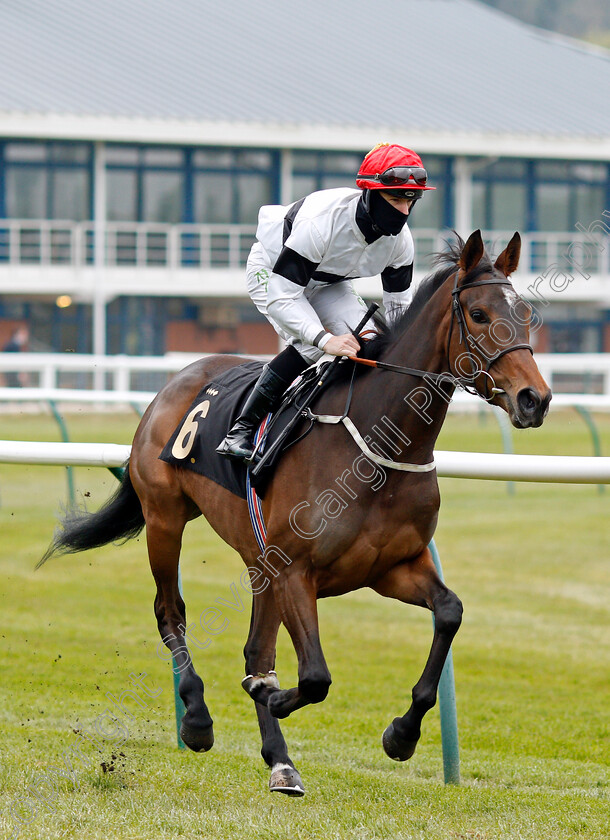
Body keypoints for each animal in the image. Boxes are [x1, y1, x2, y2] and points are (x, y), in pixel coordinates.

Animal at [39, 228, 552, 796]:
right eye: (479, 315)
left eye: (525, 314)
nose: (535, 399)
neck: (376, 443)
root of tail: (177, 380)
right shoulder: (295, 571)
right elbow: (314, 678)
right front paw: (270, 700)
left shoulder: (392, 567)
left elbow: (449, 612)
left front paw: (401, 734)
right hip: (166, 518)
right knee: (171, 612)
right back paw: (197, 719)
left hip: (257, 560)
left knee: (256, 651)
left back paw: (280, 761)